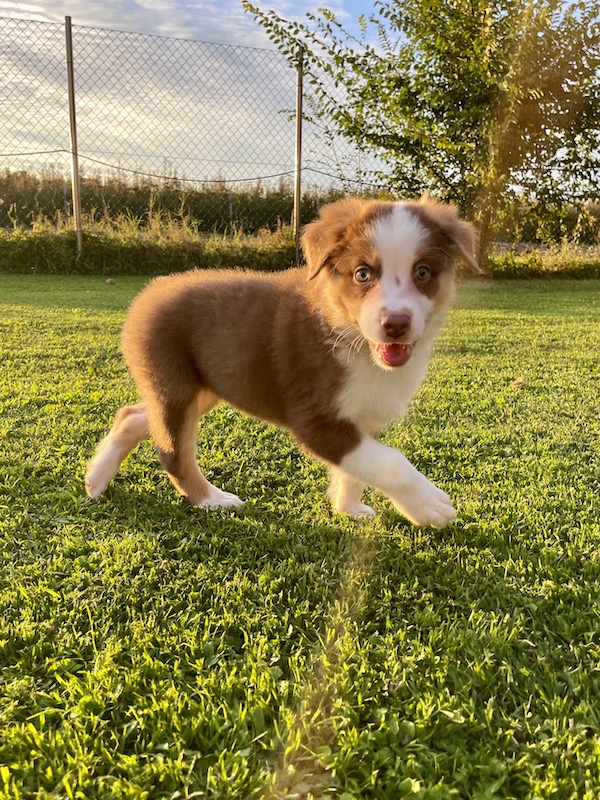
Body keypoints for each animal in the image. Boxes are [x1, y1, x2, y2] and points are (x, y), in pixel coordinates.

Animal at [85, 197, 478, 528]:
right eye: (363, 273)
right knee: (172, 451)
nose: (395, 324)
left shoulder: (363, 416)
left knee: (134, 415)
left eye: (422, 273)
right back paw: (212, 499)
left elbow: (358, 468)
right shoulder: (313, 419)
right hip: (174, 383)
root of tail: (150, 291)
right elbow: (389, 460)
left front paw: (349, 508)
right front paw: (429, 505)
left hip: (202, 386)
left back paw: (95, 478)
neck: (353, 339)